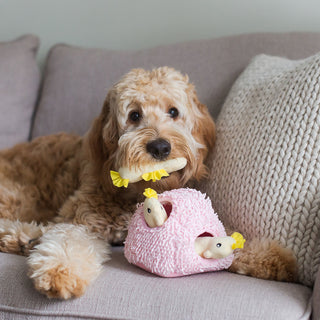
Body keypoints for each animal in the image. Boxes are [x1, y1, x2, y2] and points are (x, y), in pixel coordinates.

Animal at [0, 66, 296, 298]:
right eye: (134, 115)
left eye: (173, 112)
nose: (160, 147)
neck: (138, 193)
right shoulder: (81, 220)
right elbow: (67, 242)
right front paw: (60, 273)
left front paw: (271, 258)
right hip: (18, 194)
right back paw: (24, 237)